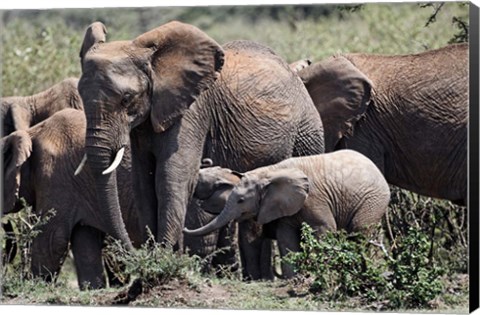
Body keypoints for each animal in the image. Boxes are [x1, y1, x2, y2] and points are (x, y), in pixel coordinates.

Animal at [77, 21, 324, 280]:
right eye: (81, 96)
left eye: (126, 99)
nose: (138, 255)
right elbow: (144, 182)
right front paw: (156, 258)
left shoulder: (193, 110)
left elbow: (171, 177)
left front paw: (163, 260)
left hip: (307, 129)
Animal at [184, 149, 390, 278]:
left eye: (241, 200)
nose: (184, 228)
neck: (268, 172)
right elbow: (285, 237)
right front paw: (293, 279)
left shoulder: (314, 199)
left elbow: (324, 229)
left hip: (372, 200)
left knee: (359, 232)